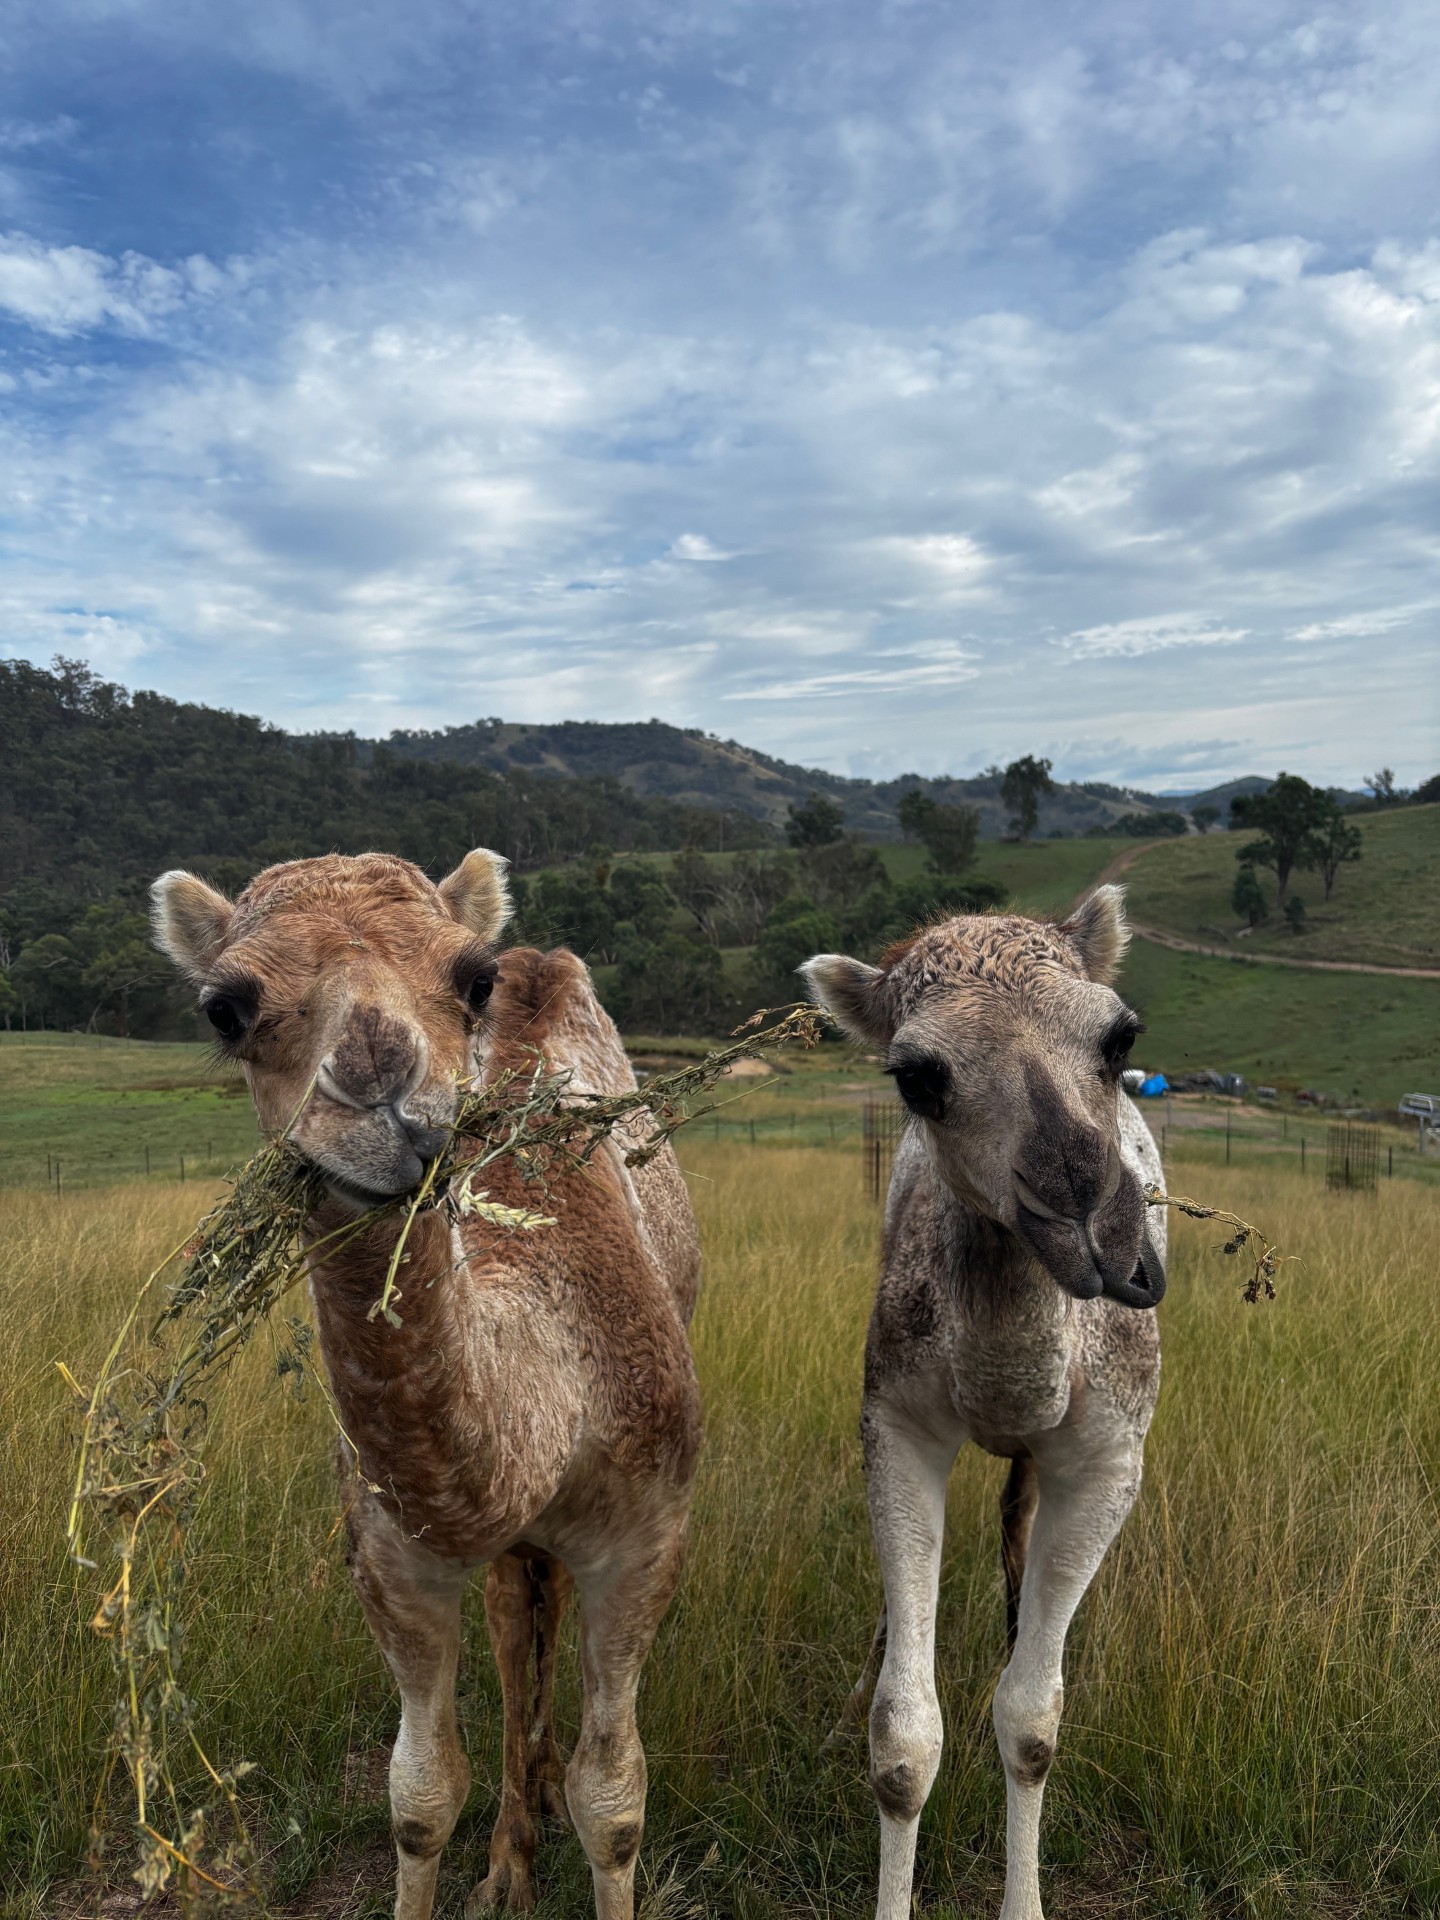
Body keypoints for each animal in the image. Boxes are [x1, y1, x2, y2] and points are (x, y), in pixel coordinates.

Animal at [150, 849, 702, 1920]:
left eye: (471, 979)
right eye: (225, 1008)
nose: (377, 1088)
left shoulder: (647, 1535)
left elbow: (615, 1800)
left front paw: (575, 1816)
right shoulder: (391, 1556)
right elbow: (419, 1795)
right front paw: (492, 1858)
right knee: (515, 1616)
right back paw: (515, 1840)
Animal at [802, 886, 1165, 1920]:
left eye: (1120, 1038)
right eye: (917, 1077)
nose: (1088, 1211)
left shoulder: (1109, 1454)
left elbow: (1033, 1721)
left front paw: (1025, 1901)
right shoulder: (897, 1423)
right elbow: (901, 1739)